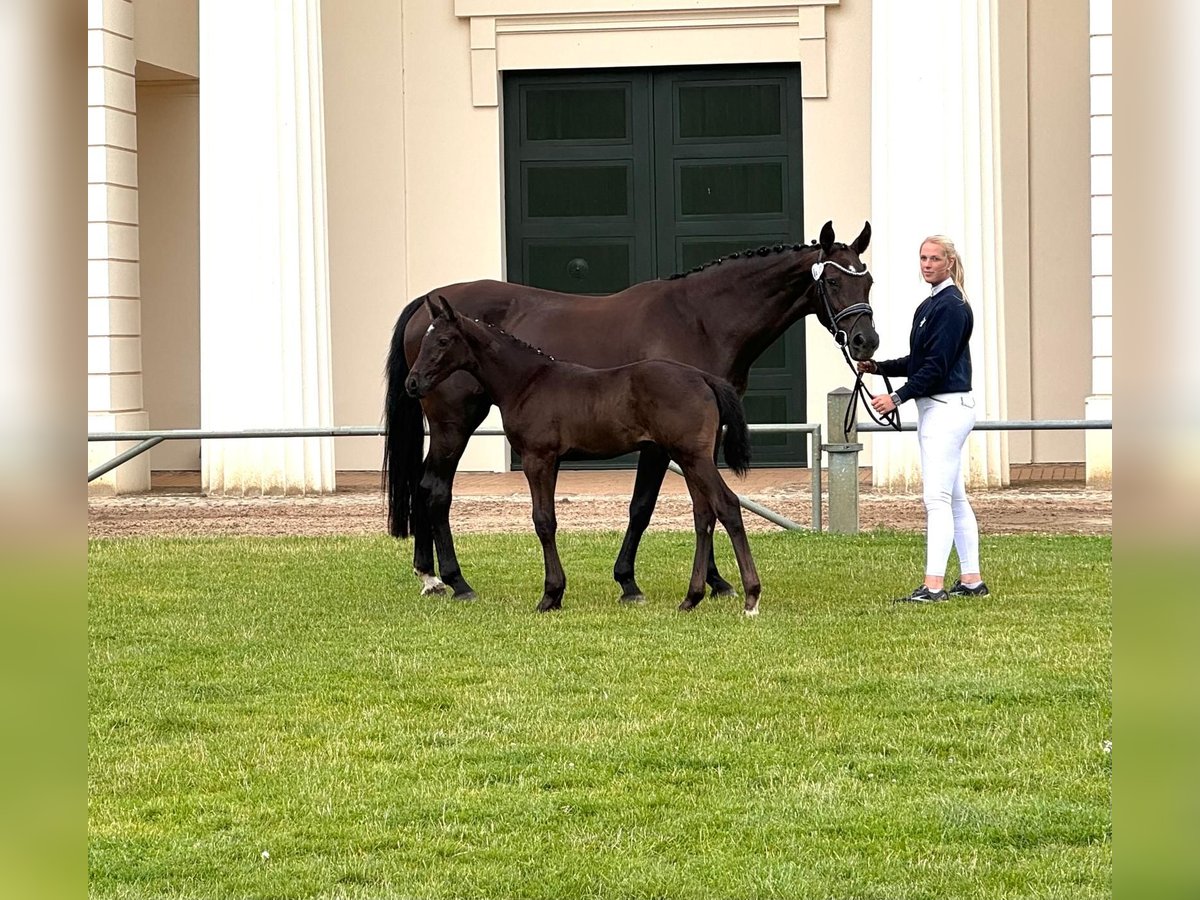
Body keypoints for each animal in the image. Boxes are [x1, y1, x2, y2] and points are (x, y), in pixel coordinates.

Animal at [403, 300, 758, 619]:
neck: (527, 382)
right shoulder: (554, 460)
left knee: (727, 505)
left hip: (694, 457)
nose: (413, 382)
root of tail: (704, 378)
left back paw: (750, 599)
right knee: (704, 515)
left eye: (443, 341)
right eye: (424, 340)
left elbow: (544, 521)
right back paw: (691, 598)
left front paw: (550, 595)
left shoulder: (538, 458)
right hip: (688, 458)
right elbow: (548, 519)